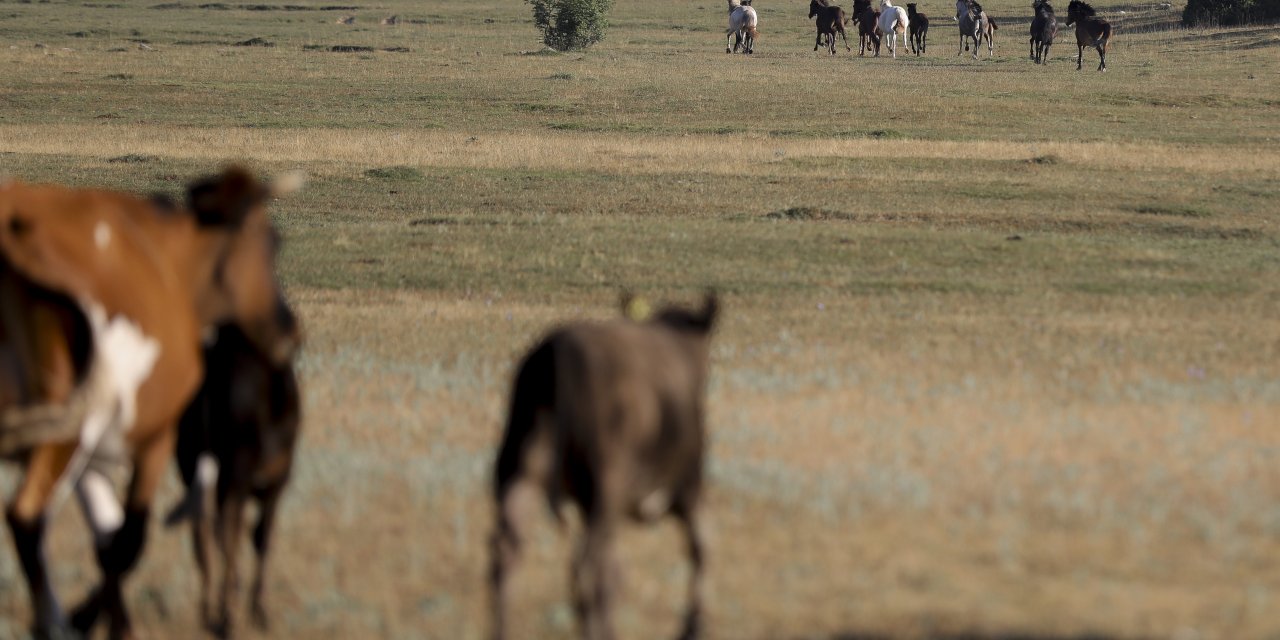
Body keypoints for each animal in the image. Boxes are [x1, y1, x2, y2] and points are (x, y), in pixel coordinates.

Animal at [165, 325, 302, 640]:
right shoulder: (268, 483)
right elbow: (255, 538)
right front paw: (253, 611)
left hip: (200, 470)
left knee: (206, 534)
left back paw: (213, 610)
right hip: (231, 475)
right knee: (223, 533)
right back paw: (226, 616)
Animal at [488, 293, 721, 640]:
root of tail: (557, 355)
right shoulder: (686, 485)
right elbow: (700, 548)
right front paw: (691, 626)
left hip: (518, 476)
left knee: (506, 558)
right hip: (604, 490)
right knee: (587, 570)